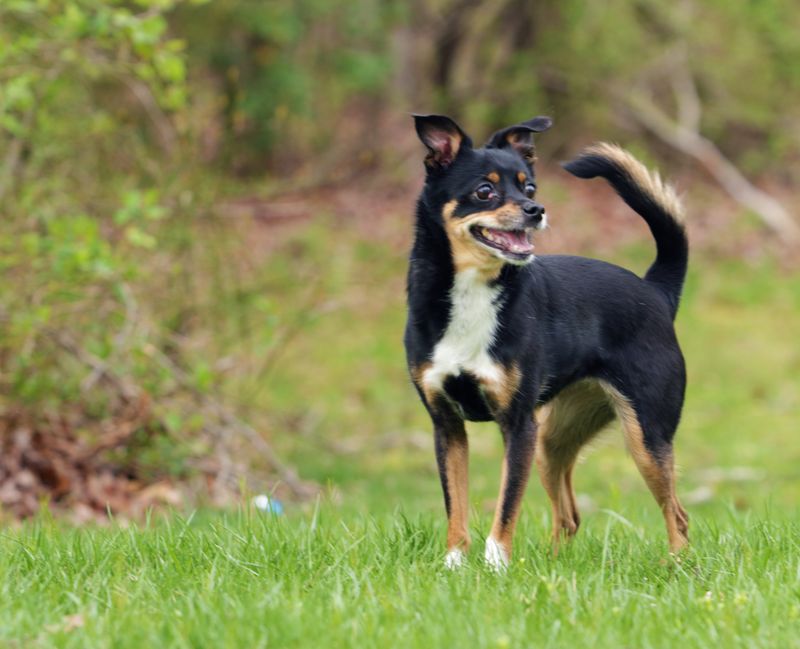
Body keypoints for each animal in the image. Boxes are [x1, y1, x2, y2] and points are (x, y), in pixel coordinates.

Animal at [404, 115, 692, 568]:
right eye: (484, 191)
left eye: (530, 188)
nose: (536, 210)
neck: (474, 292)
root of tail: (656, 291)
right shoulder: (446, 426)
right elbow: (457, 507)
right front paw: (454, 565)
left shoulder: (518, 426)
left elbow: (506, 506)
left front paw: (496, 567)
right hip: (553, 440)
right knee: (569, 516)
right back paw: (554, 565)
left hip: (646, 435)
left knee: (677, 514)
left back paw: (677, 568)